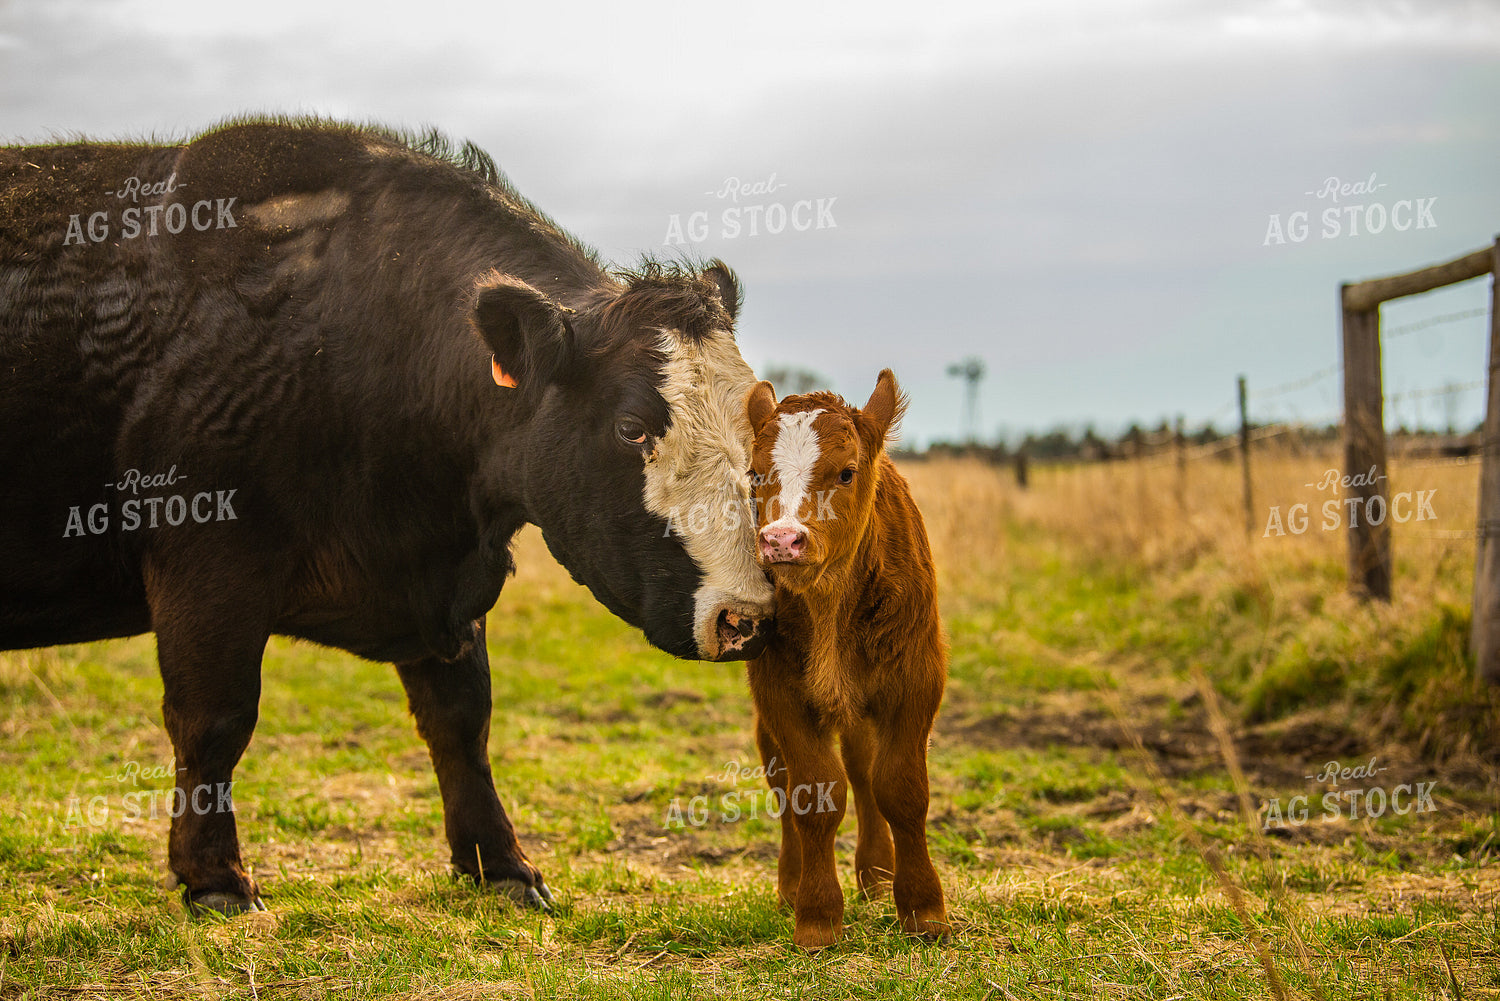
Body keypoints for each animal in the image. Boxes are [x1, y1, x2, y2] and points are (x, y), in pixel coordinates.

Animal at [0, 118, 775, 914]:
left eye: (760, 416)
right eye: (630, 427)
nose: (745, 614)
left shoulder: (445, 579)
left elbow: (462, 720)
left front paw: (502, 863)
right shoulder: (206, 562)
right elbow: (214, 720)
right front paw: (214, 877)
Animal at [744, 370, 950, 948]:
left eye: (845, 472)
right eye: (755, 474)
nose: (781, 539)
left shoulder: (917, 681)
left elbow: (900, 787)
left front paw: (923, 908)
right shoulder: (779, 691)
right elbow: (814, 792)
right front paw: (816, 914)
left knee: (863, 768)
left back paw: (876, 874)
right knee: (783, 779)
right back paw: (793, 883)